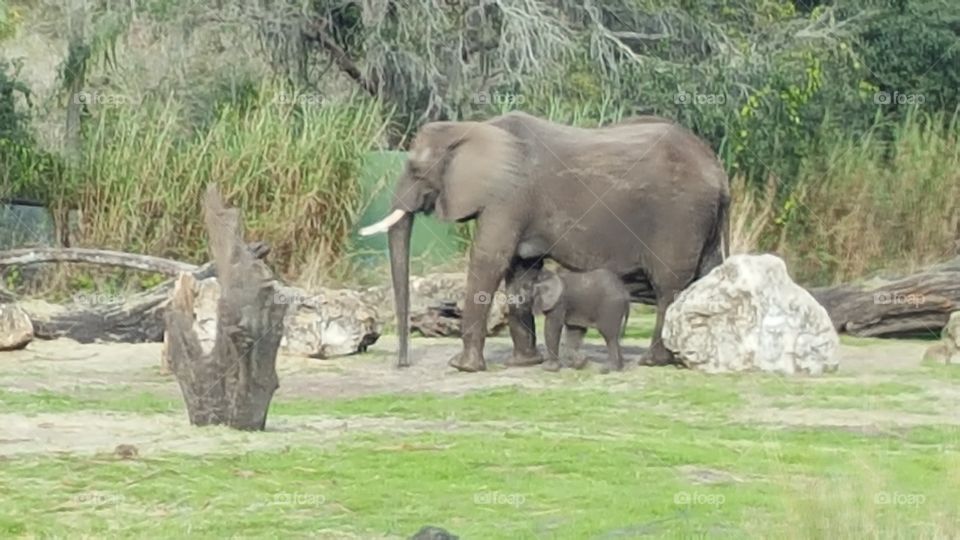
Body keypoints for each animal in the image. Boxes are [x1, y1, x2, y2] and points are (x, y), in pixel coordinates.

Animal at [360, 109, 728, 372]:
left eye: (416, 168)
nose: (402, 364)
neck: (473, 128)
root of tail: (718, 169)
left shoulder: (507, 197)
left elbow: (489, 260)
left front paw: (463, 367)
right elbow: (518, 270)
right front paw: (523, 364)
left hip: (680, 217)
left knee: (669, 288)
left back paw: (654, 361)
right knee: (705, 275)